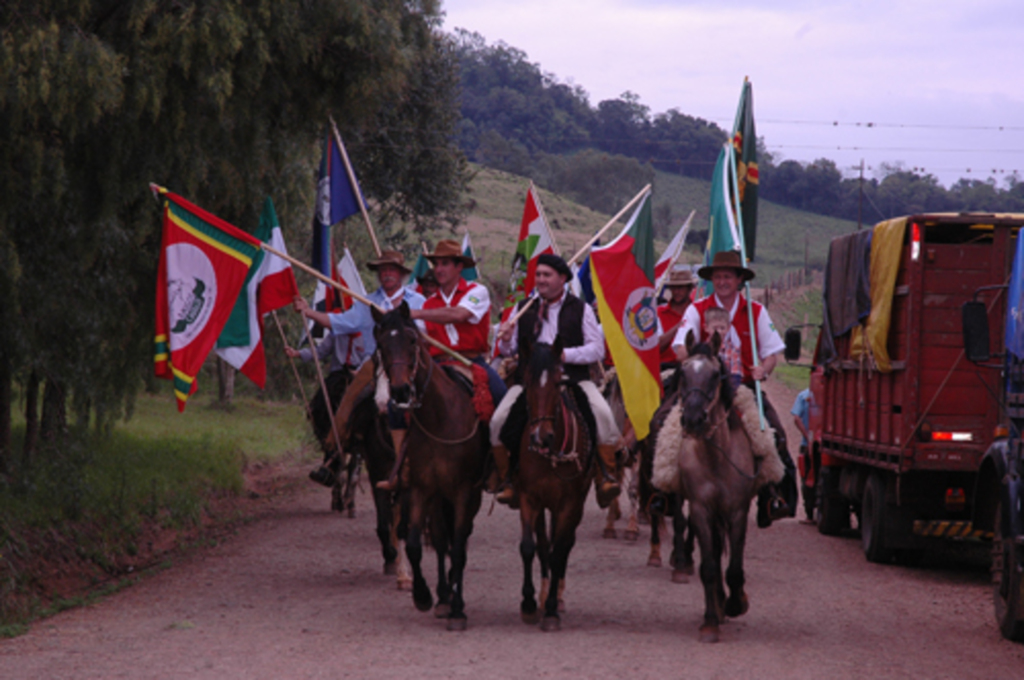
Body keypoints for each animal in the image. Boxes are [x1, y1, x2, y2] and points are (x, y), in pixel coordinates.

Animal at [372, 303, 487, 630]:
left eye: (412, 340)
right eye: (381, 345)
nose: (399, 392)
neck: (440, 416)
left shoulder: (463, 491)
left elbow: (458, 547)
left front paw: (458, 610)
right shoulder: (422, 488)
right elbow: (414, 543)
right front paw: (424, 596)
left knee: (459, 539)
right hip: (437, 496)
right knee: (439, 537)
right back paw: (443, 596)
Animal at [516, 337, 598, 630]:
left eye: (556, 382)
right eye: (527, 381)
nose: (541, 437)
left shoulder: (569, 504)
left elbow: (558, 551)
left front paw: (551, 610)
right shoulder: (529, 498)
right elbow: (530, 547)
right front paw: (530, 604)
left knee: (563, 546)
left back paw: (556, 597)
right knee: (543, 544)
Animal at [671, 331, 774, 647]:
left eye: (716, 374)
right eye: (683, 372)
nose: (693, 419)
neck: (715, 457)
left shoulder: (737, 511)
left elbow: (735, 567)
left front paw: (736, 603)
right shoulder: (701, 510)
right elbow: (709, 566)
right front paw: (710, 622)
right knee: (715, 555)